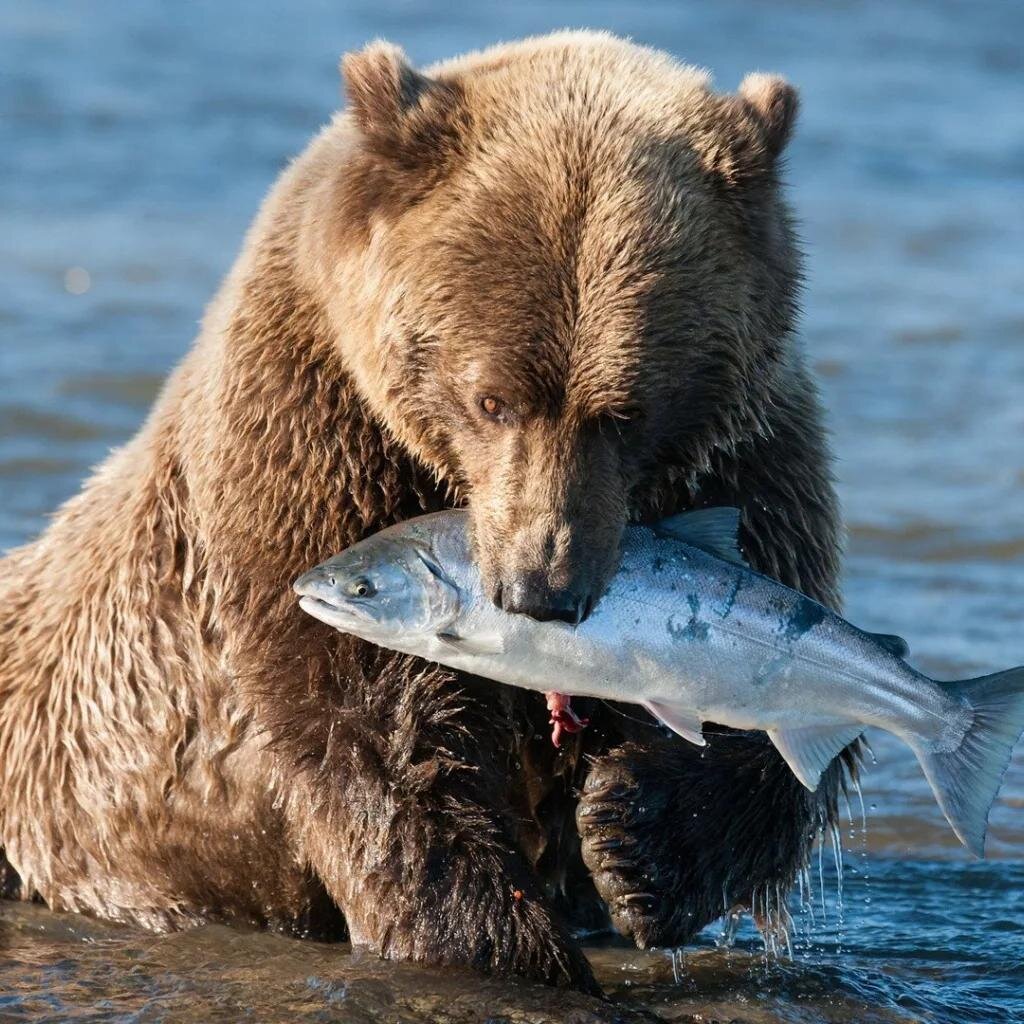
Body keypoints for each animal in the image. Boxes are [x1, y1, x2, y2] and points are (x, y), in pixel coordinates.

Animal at [0, 34, 847, 991]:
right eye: (492, 399)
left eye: (625, 411)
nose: (539, 588)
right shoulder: (316, 448)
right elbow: (378, 729)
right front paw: (504, 943)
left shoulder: (748, 461)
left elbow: (782, 697)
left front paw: (635, 839)